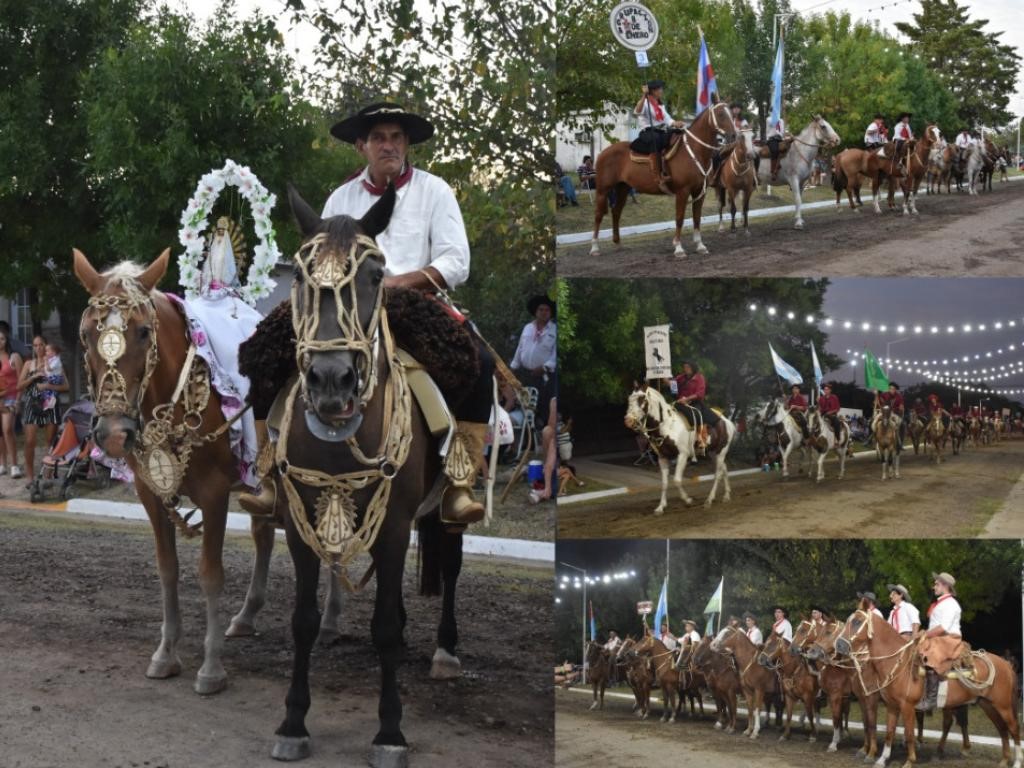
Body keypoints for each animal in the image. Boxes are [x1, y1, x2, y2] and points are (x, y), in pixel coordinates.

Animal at [73, 248, 279, 696]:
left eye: (143, 332)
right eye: (85, 333)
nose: (113, 433)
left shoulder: (216, 493)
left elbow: (210, 574)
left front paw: (211, 667)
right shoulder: (150, 493)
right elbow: (167, 569)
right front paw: (166, 654)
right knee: (264, 531)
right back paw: (247, 616)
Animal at [267, 185, 467, 766]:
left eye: (377, 275)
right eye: (301, 277)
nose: (332, 381)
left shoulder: (397, 525)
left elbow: (383, 630)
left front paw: (390, 732)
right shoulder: (300, 524)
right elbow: (303, 620)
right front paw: (293, 722)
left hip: (446, 514)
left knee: (451, 568)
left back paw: (445, 650)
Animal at [589, 102, 736, 258]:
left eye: (731, 113)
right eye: (720, 114)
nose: (733, 135)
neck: (694, 151)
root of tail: (603, 153)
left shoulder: (699, 192)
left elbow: (697, 218)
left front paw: (700, 245)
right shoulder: (683, 192)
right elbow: (679, 218)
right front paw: (678, 248)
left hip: (623, 188)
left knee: (616, 212)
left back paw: (618, 244)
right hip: (603, 190)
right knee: (598, 215)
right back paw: (595, 248)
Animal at [623, 385, 736, 513]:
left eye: (642, 399)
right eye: (629, 399)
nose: (628, 421)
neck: (667, 426)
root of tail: (727, 422)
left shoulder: (682, 455)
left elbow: (677, 480)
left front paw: (688, 500)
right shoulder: (662, 458)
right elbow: (664, 483)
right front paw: (660, 507)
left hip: (721, 451)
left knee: (718, 474)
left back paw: (709, 500)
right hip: (713, 453)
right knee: (724, 469)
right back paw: (726, 496)